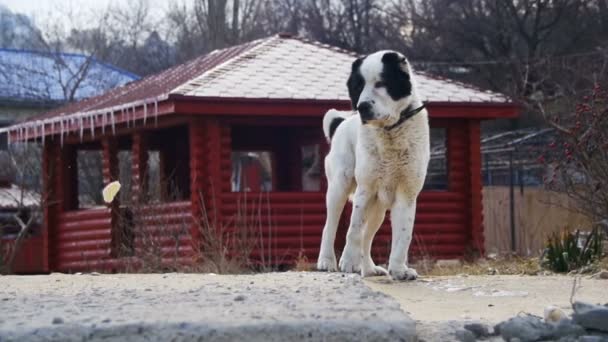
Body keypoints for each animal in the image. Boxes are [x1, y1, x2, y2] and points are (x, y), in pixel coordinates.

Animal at [316, 50, 430, 280]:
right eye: (358, 86)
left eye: (381, 83)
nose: (362, 107)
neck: (391, 131)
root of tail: (341, 123)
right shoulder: (365, 189)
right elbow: (353, 229)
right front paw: (348, 262)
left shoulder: (407, 194)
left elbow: (403, 236)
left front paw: (399, 269)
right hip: (339, 188)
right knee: (331, 226)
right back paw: (326, 261)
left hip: (378, 208)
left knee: (367, 236)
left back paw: (368, 269)